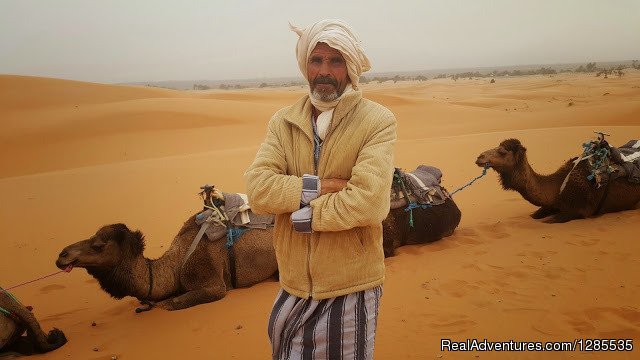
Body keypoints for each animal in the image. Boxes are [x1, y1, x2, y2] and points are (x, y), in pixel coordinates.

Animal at [476, 138, 640, 222]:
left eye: (502, 151)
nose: (479, 157)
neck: (558, 188)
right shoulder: (550, 205)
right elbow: (534, 216)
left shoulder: (579, 211)